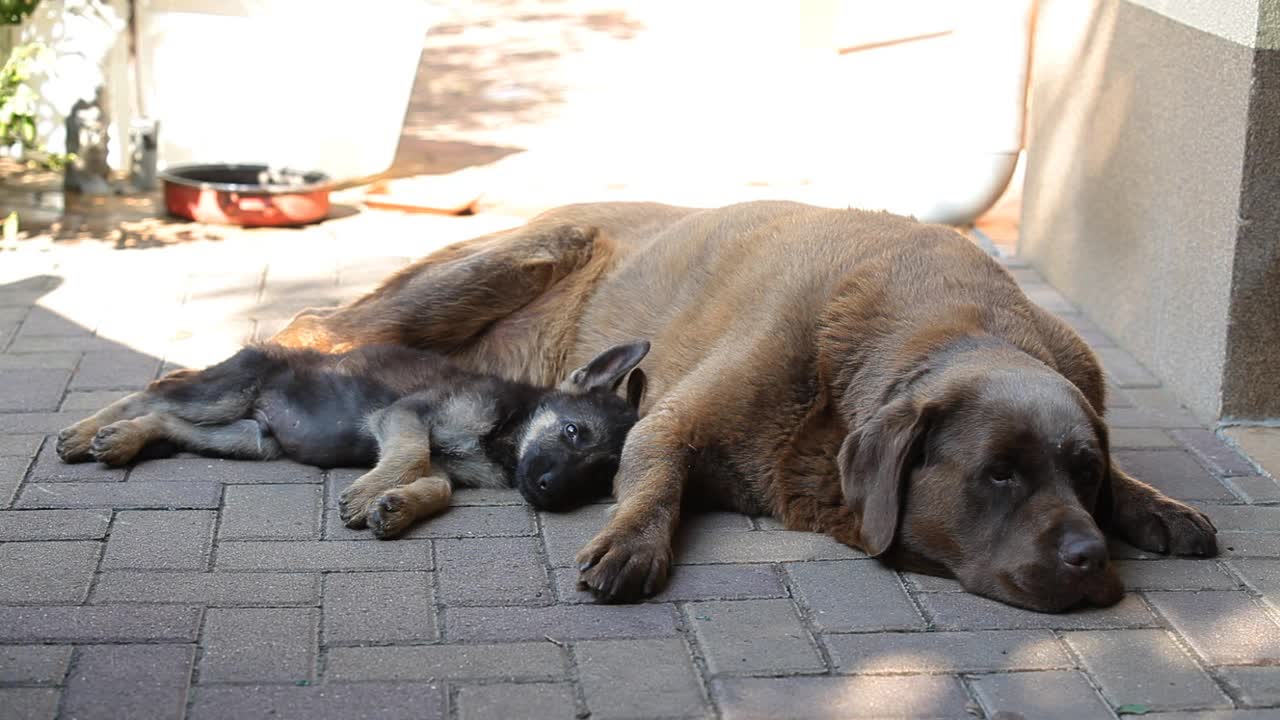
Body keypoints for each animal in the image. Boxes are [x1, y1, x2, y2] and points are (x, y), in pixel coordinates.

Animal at [56, 338, 650, 535]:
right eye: (573, 432)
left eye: (600, 477)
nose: (551, 494)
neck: (507, 432)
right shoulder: (404, 417)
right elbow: (409, 457)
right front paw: (368, 496)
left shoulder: (439, 461)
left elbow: (433, 482)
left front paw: (397, 506)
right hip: (225, 394)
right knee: (154, 393)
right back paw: (87, 432)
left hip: (249, 438)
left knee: (171, 421)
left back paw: (123, 439)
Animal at [272, 198, 1218, 607]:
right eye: (999, 476)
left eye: (1082, 472)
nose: (1089, 559)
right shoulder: (670, 419)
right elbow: (653, 480)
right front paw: (631, 545)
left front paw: (1155, 504)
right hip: (511, 260)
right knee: (315, 322)